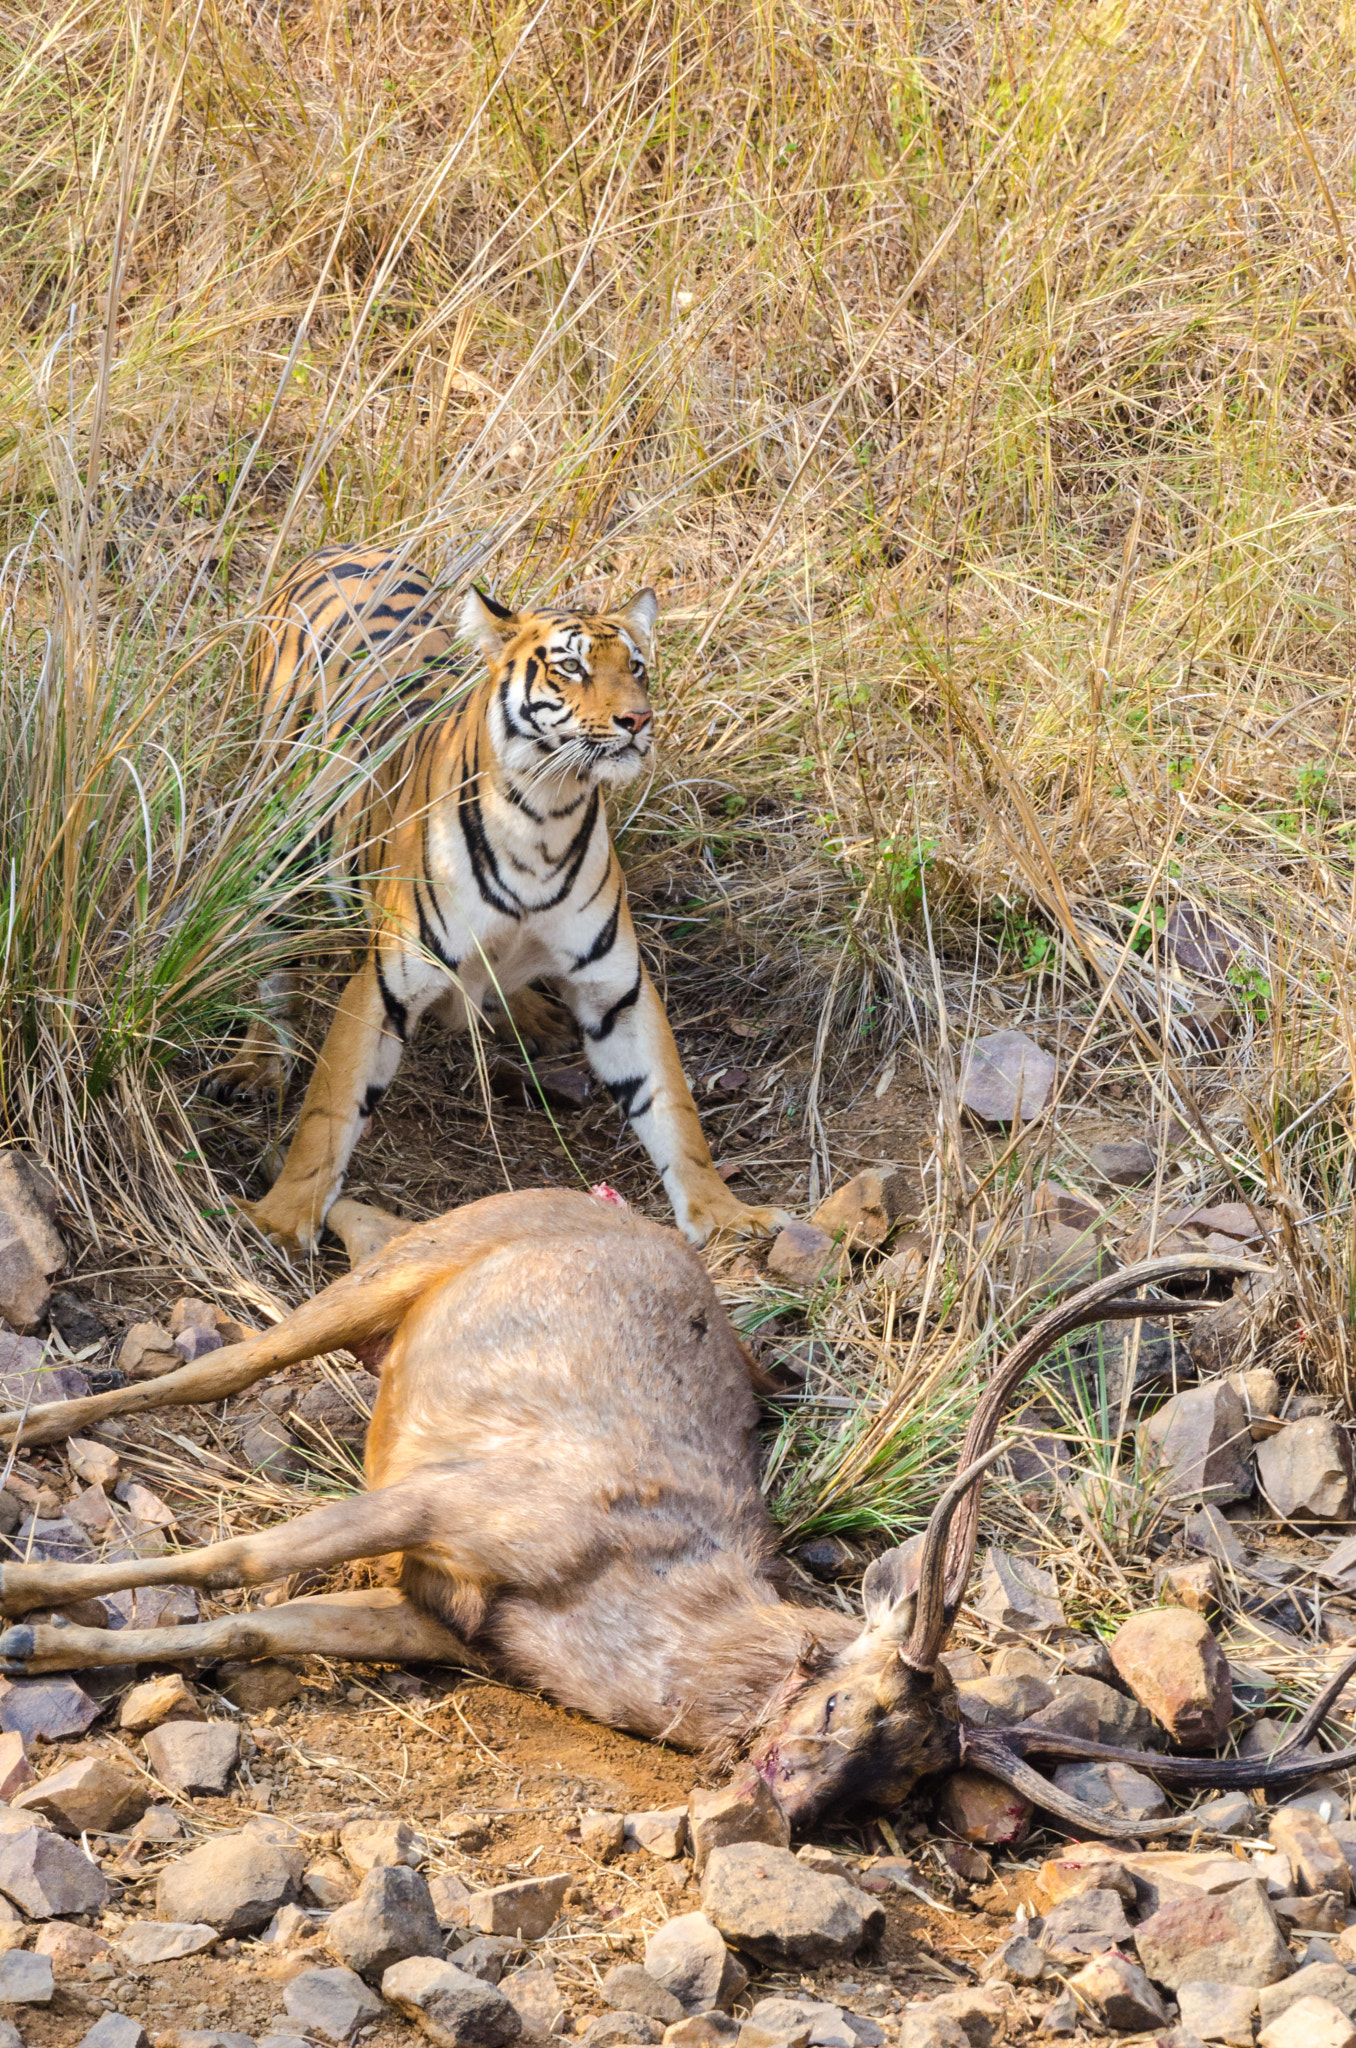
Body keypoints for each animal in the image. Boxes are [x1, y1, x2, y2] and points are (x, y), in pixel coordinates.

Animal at [0, 1196, 1343, 1835]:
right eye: (842, 1699)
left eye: (904, 1785)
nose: (785, 1810)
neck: (614, 1609)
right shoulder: (450, 1494)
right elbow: (241, 1552)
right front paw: (18, 1601)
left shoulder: (447, 1623)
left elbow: (248, 1627)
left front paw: (40, 1644)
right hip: (393, 1269)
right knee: (212, 1369)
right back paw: (28, 1425)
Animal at [216, 544, 790, 1245]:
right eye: (571, 667)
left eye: (637, 667)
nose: (639, 720)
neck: (545, 815)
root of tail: (337, 549)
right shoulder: (385, 984)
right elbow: (327, 1112)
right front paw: (280, 1218)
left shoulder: (617, 988)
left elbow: (673, 1107)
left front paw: (726, 1213)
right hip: (276, 837)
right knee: (273, 961)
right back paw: (257, 1063)